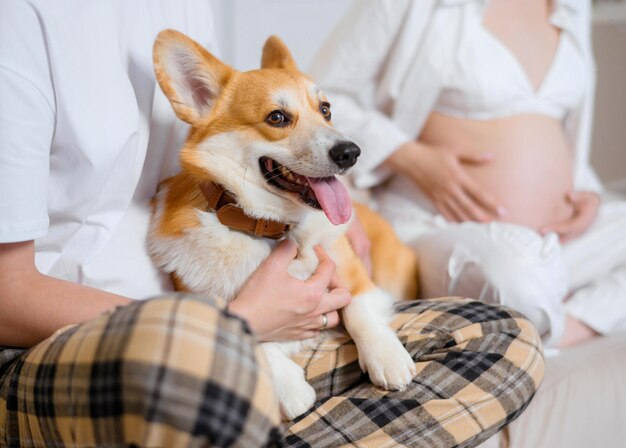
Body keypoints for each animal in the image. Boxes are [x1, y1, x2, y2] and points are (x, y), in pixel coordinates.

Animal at [149, 30, 416, 420]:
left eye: (326, 109)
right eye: (276, 117)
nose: (351, 153)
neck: (271, 227)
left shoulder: (352, 273)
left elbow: (358, 308)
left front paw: (386, 356)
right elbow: (248, 329)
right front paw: (291, 390)